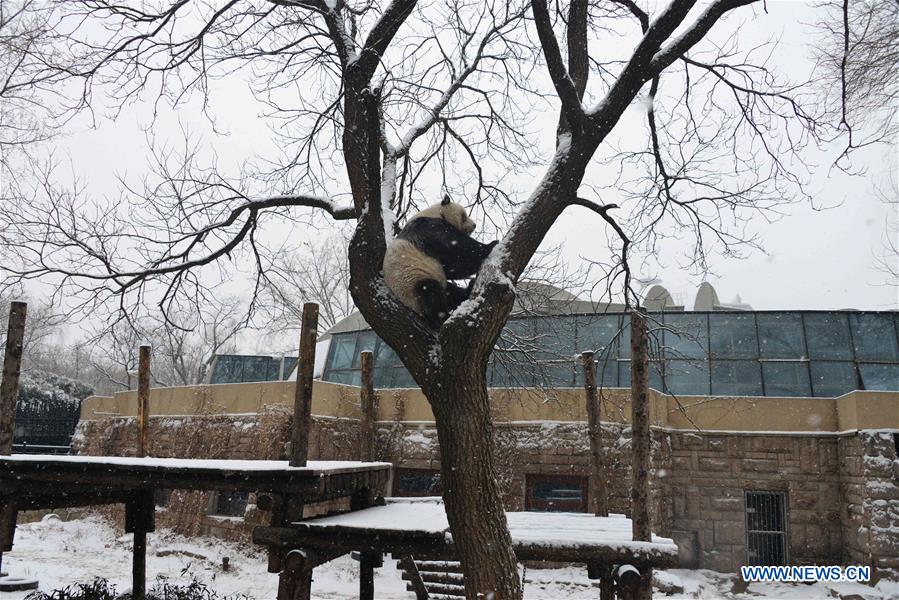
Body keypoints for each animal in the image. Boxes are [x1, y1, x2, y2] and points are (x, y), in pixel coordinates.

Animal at [384, 196, 500, 328]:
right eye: (464, 216)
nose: (474, 225)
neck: (436, 212)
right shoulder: (428, 228)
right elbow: (456, 249)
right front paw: (491, 245)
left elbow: (452, 267)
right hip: (411, 283)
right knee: (431, 293)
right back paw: (442, 318)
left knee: (450, 291)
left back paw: (468, 289)